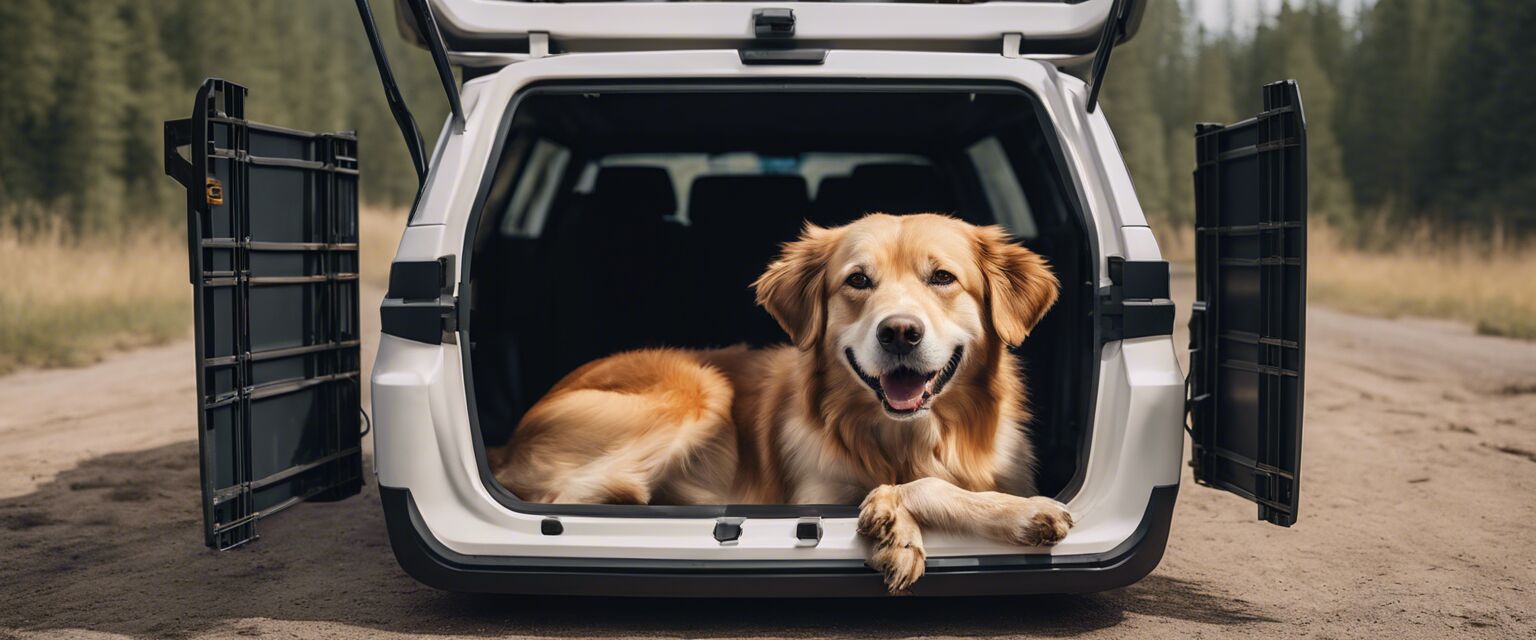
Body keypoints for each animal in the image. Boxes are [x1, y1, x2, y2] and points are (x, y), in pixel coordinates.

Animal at [485, 213, 1075, 589]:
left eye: (943, 277)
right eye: (858, 280)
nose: (899, 333)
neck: (905, 437)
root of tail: (508, 442)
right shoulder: (812, 494)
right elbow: (915, 486)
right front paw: (907, 527)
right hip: (699, 387)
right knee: (570, 500)